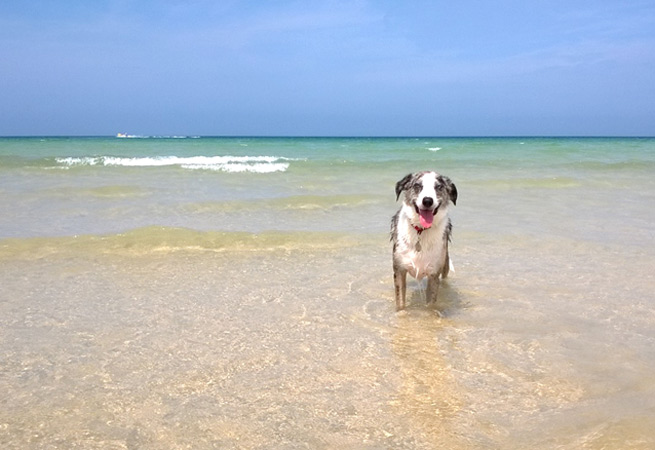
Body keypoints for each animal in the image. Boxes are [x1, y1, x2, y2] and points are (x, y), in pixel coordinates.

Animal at [392, 171, 458, 312]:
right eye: (417, 185)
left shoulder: (434, 273)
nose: (427, 200)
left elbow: (430, 305)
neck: (421, 231)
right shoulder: (399, 269)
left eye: (438, 187)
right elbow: (400, 303)